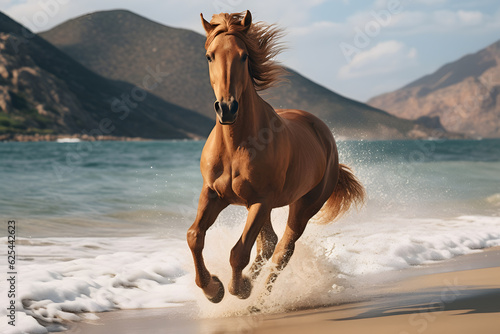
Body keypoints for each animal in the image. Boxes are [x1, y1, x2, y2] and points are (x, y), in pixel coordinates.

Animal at [186, 10, 366, 304]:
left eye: (243, 56)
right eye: (209, 56)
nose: (227, 108)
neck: (237, 145)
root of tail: (323, 132)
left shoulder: (261, 200)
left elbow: (239, 253)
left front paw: (238, 289)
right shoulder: (214, 194)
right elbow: (195, 237)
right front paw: (213, 289)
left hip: (302, 207)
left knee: (282, 250)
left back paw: (258, 302)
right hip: (257, 206)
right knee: (269, 243)